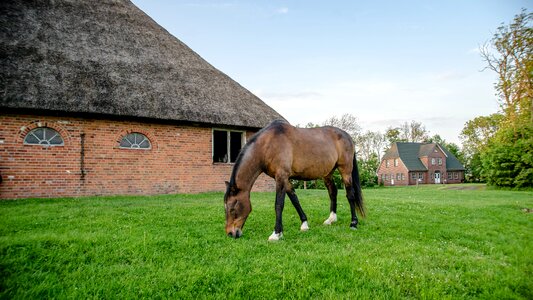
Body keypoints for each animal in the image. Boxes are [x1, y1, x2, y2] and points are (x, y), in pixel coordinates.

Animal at [222, 120, 364, 241]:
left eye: (232, 209)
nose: (230, 233)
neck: (267, 144)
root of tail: (347, 136)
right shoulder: (286, 179)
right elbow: (295, 200)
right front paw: (304, 224)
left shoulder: (281, 177)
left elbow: (279, 204)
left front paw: (276, 234)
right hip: (328, 174)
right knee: (333, 192)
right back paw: (331, 219)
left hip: (345, 171)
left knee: (350, 195)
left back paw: (353, 223)